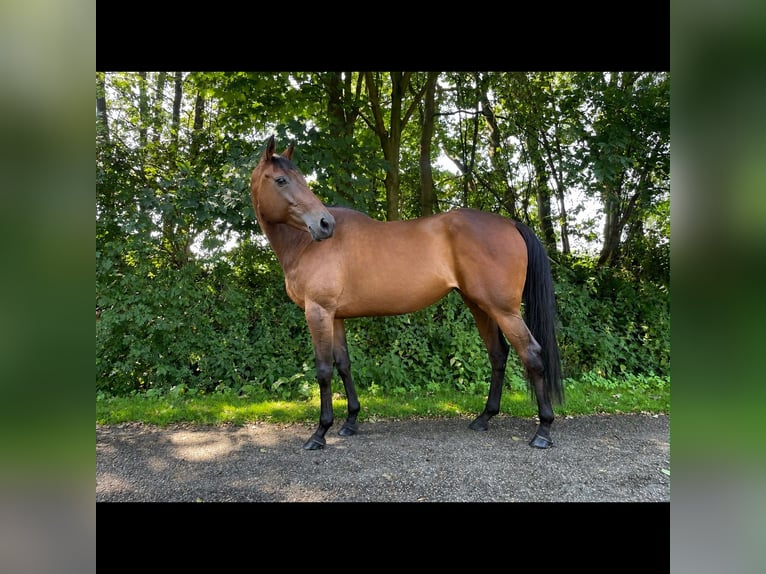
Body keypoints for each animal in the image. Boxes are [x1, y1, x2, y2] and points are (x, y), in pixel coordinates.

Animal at [249, 135, 564, 450]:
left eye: (299, 179)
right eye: (281, 180)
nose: (325, 224)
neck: (304, 244)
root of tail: (510, 223)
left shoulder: (318, 312)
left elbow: (324, 370)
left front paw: (320, 432)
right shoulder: (334, 316)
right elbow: (344, 365)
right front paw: (350, 421)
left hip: (504, 310)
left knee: (532, 354)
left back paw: (543, 430)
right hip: (480, 306)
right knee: (498, 355)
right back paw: (484, 418)